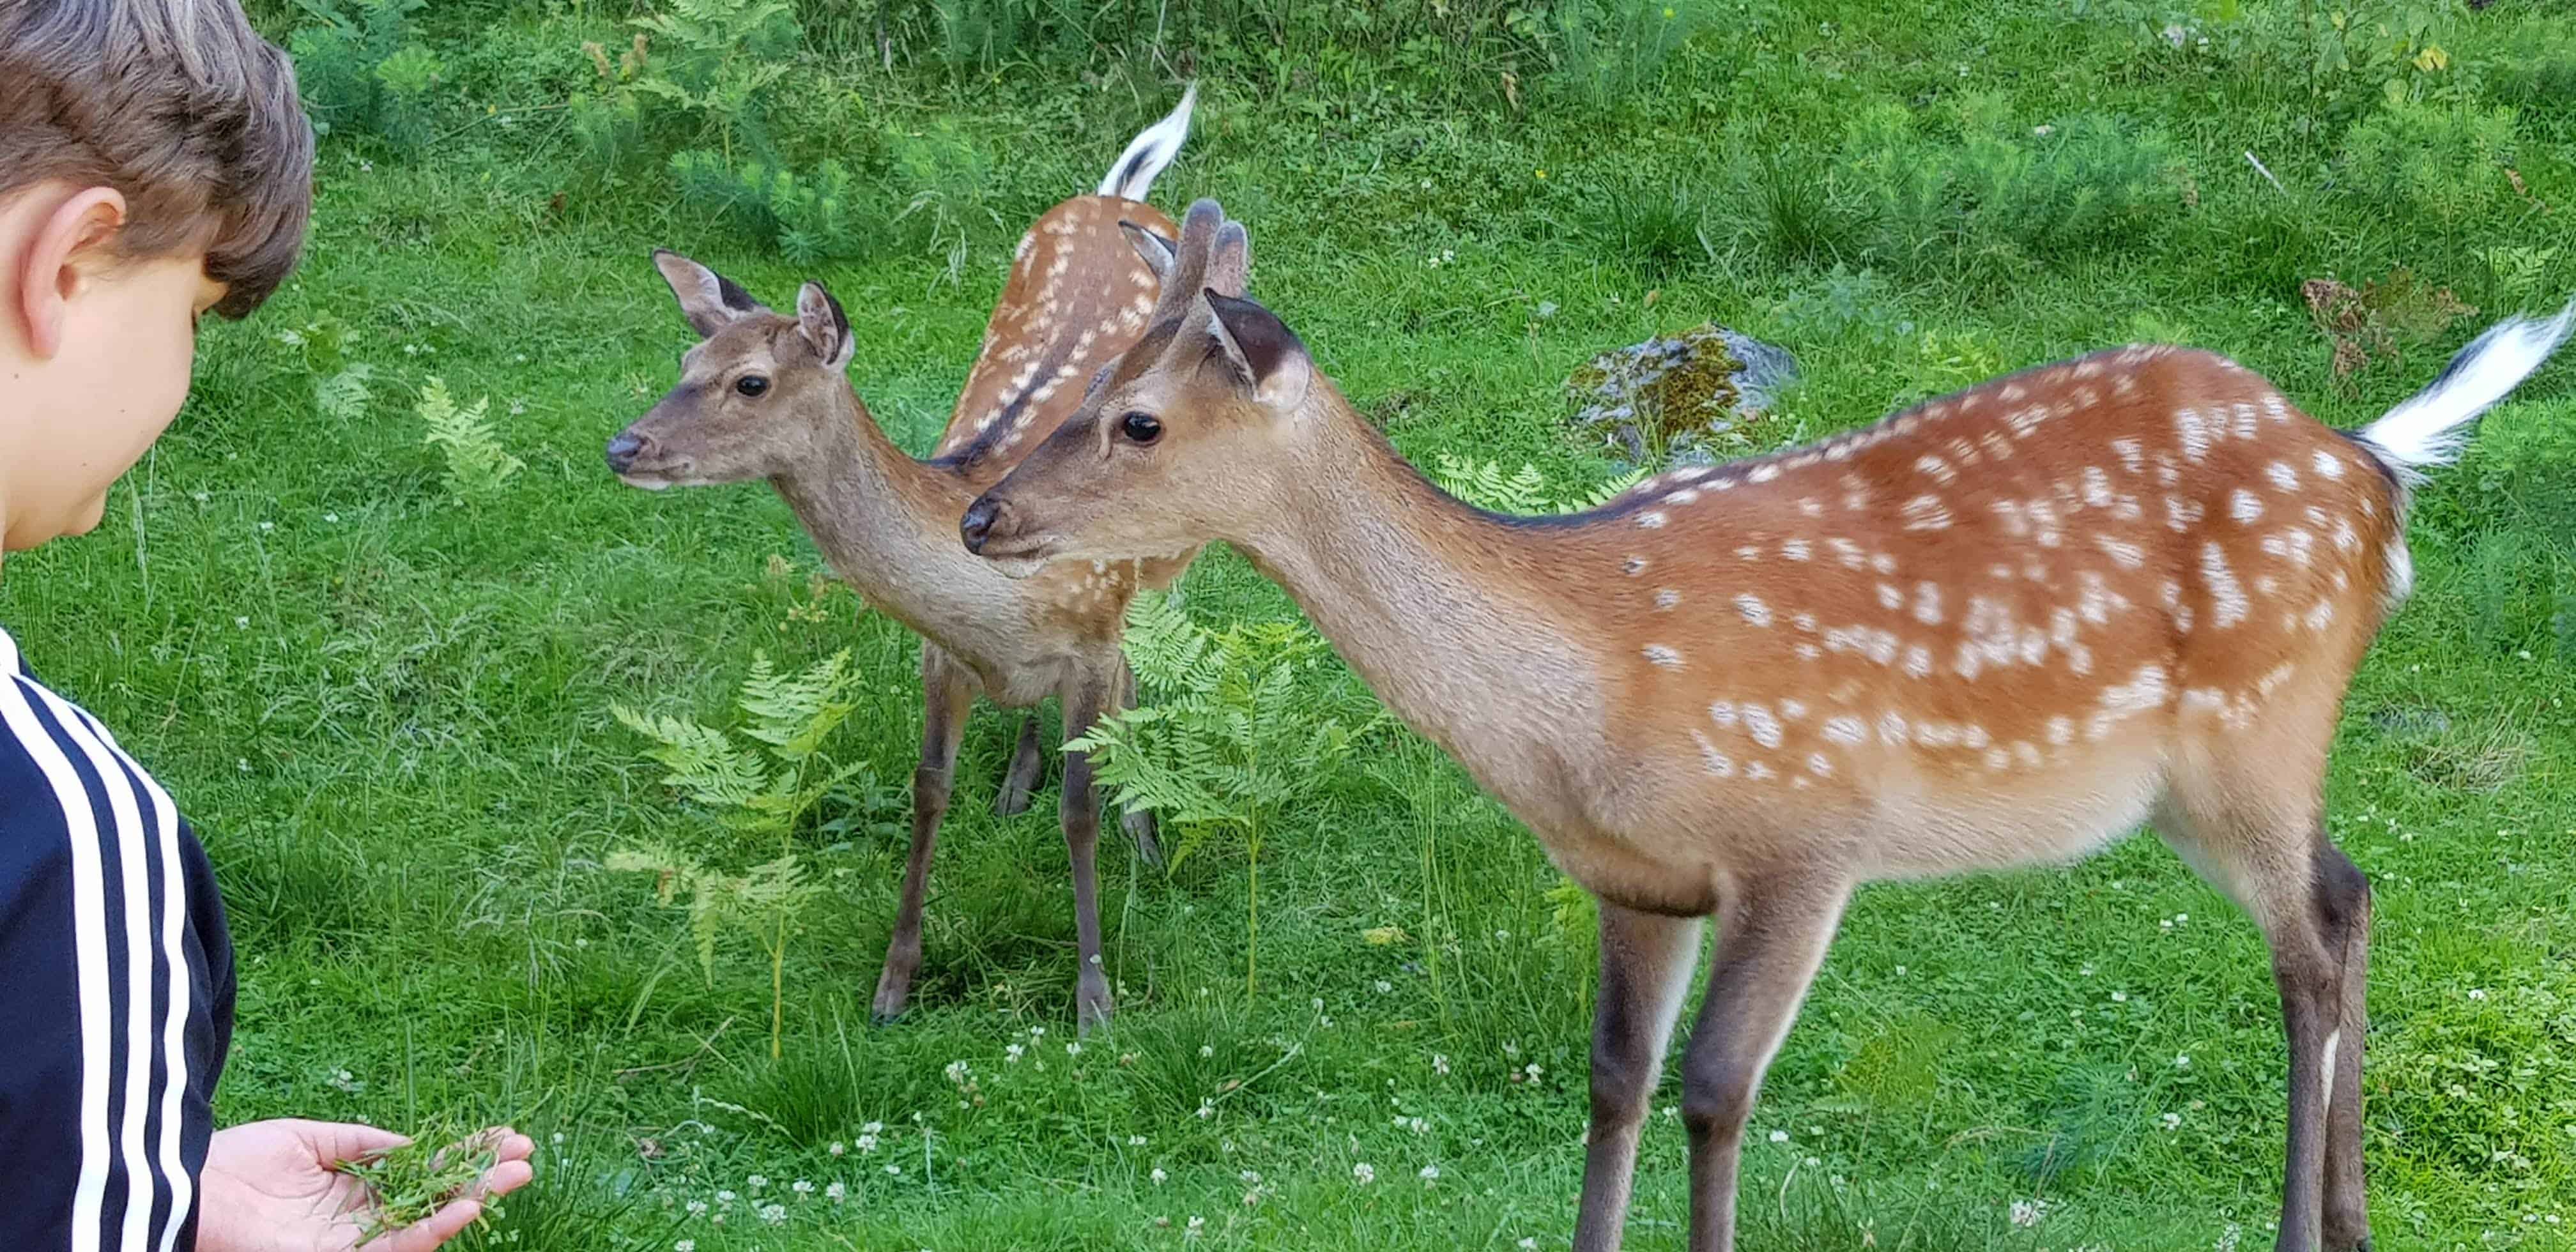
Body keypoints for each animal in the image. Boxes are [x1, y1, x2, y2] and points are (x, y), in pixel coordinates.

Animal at [597, 86, 1221, 1025]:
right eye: (686, 357)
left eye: (751, 381)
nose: (623, 447)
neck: (993, 604)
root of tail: (1118, 193)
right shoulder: (941, 652)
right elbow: (929, 787)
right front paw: (893, 983)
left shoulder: (1092, 631)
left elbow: (1078, 807)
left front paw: (1094, 995)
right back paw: (1017, 781)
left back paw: (1141, 831)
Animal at [969, 201, 2576, 1246]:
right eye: (1094, 382)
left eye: (1138, 421)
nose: (984, 514)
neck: (1579, 711)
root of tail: (2373, 470)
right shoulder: (1638, 879)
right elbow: (1614, 1081)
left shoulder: (1805, 837)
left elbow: (1715, 1089)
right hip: (2207, 776)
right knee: (2350, 895)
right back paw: (2354, 1218)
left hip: (2259, 720)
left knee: (2306, 944)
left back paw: (2307, 1225)